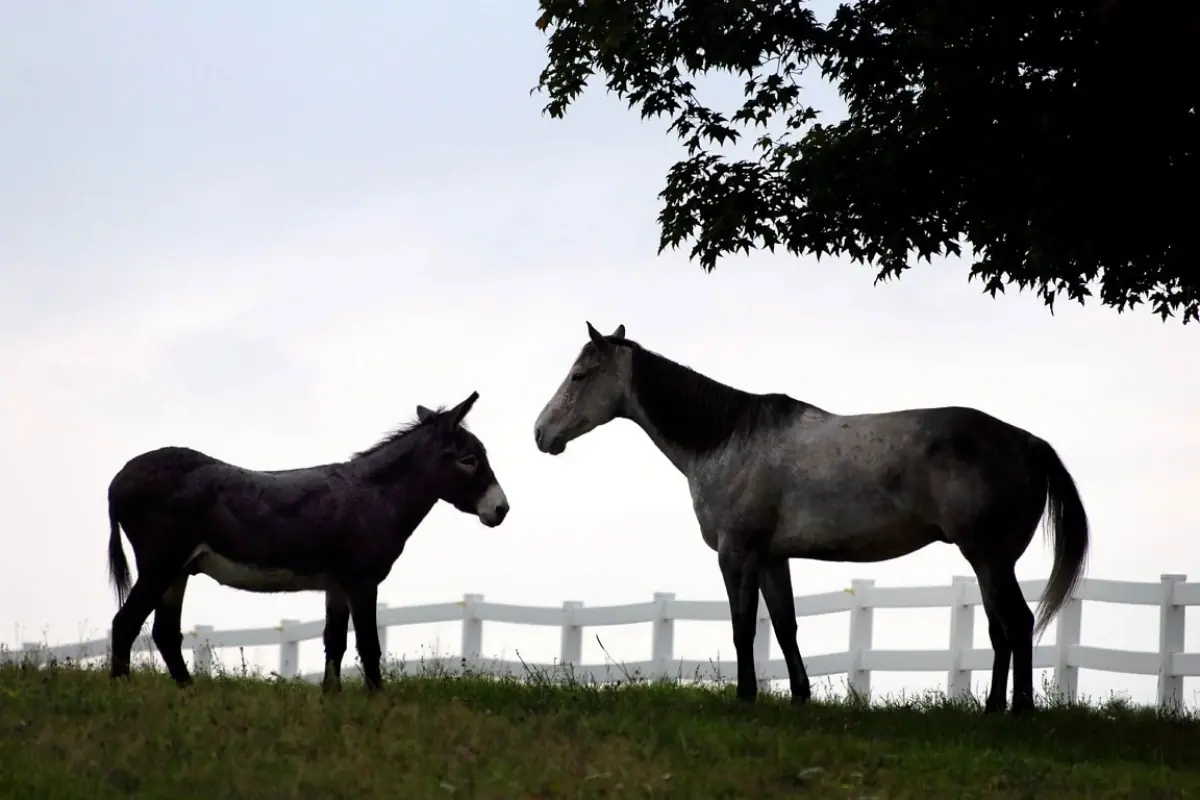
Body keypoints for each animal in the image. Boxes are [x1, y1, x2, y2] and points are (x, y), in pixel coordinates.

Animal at [105, 390, 509, 693]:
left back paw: (189, 693)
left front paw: (332, 699)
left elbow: (335, 640)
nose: (501, 509)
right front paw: (378, 702)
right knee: (125, 623)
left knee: (164, 633)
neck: (376, 496)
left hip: (179, 570)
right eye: (469, 459)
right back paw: (122, 692)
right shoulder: (362, 581)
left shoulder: (337, 584)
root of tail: (119, 478)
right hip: (161, 562)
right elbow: (369, 644)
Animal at [533, 322, 1089, 716]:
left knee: (1016, 624)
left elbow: (743, 628)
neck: (727, 438)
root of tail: (1030, 444)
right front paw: (799, 695)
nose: (541, 432)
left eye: (580, 375)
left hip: (990, 560)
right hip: (989, 563)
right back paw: (994, 708)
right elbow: (784, 627)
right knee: (1000, 630)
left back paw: (1018, 712)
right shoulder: (772, 558)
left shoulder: (737, 554)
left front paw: (746, 697)